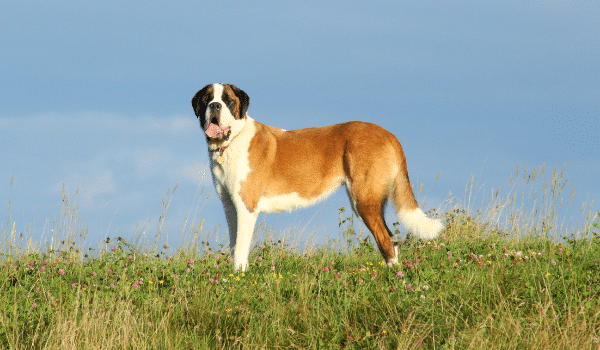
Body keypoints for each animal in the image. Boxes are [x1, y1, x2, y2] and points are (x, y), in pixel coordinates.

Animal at [192, 82, 446, 270]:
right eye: (207, 99)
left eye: (228, 100)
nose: (215, 106)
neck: (231, 142)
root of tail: (387, 133)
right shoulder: (230, 207)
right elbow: (234, 244)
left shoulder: (246, 208)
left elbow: (240, 249)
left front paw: (238, 278)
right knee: (391, 240)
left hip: (364, 200)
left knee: (386, 241)